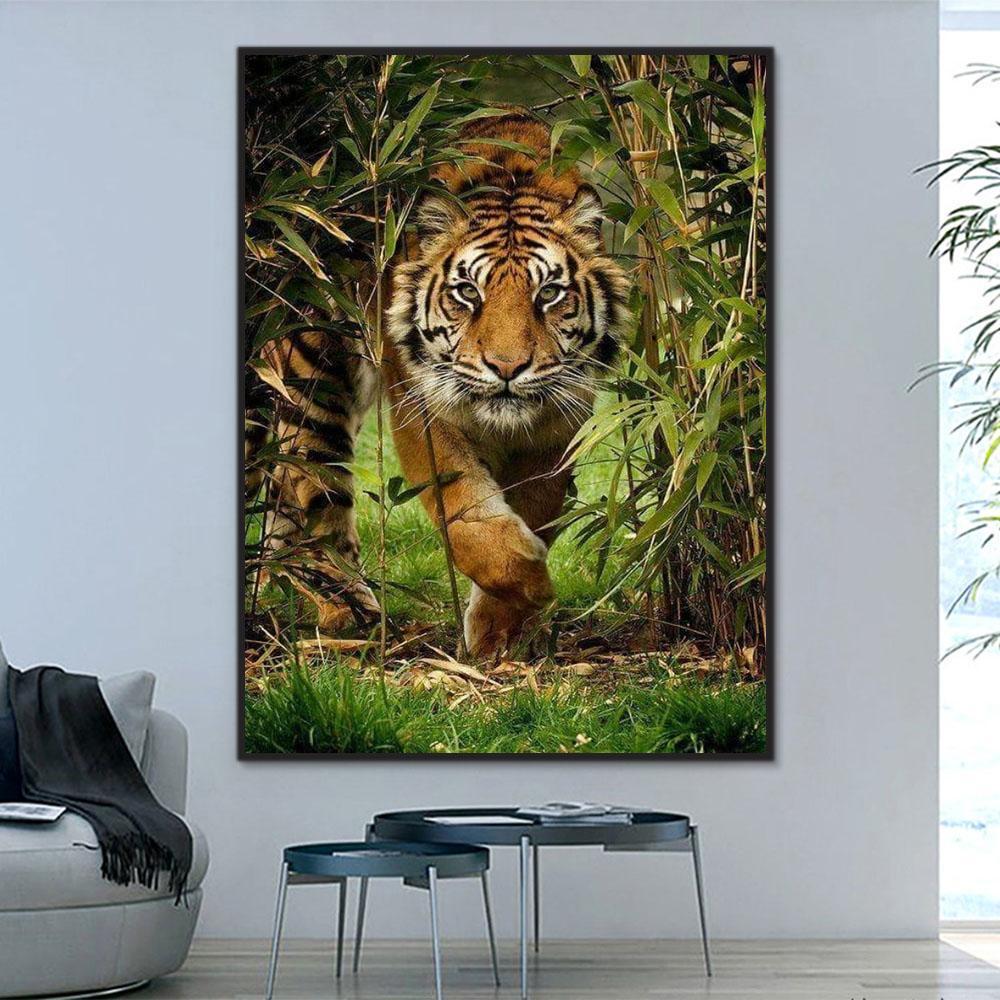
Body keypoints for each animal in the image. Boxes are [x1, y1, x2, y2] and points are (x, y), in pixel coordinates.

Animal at [253, 111, 629, 659]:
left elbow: (536, 506)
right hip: (314, 375)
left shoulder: (559, 422)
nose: (507, 367)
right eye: (468, 292)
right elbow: (465, 512)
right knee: (312, 491)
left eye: (549, 293)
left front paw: (501, 631)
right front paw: (531, 585)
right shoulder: (423, 406)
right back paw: (348, 613)